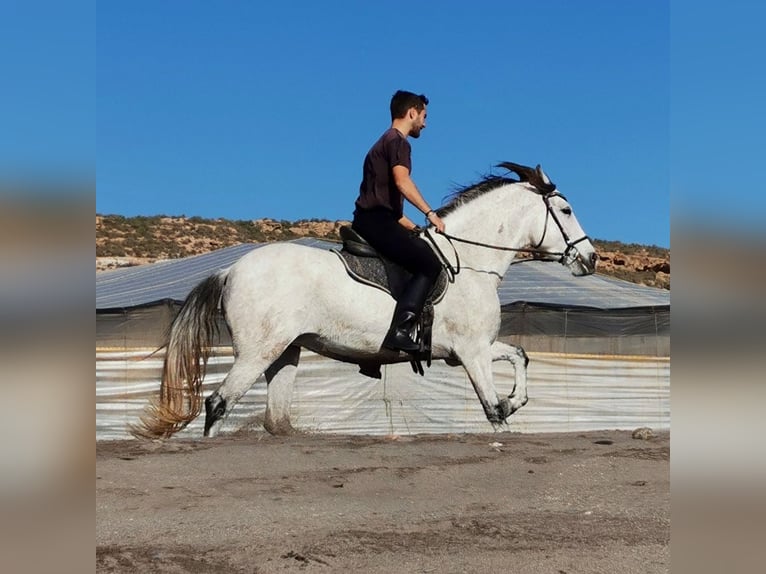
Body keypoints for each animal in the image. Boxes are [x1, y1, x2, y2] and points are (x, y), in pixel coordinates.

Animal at [134, 163, 600, 440]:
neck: (470, 261)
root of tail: (230, 270)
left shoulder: (474, 349)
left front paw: (516, 399)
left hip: (285, 352)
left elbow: (520, 355)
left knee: (275, 419)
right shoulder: (470, 353)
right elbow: (492, 412)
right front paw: (506, 408)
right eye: (565, 210)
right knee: (218, 404)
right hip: (257, 352)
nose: (591, 258)